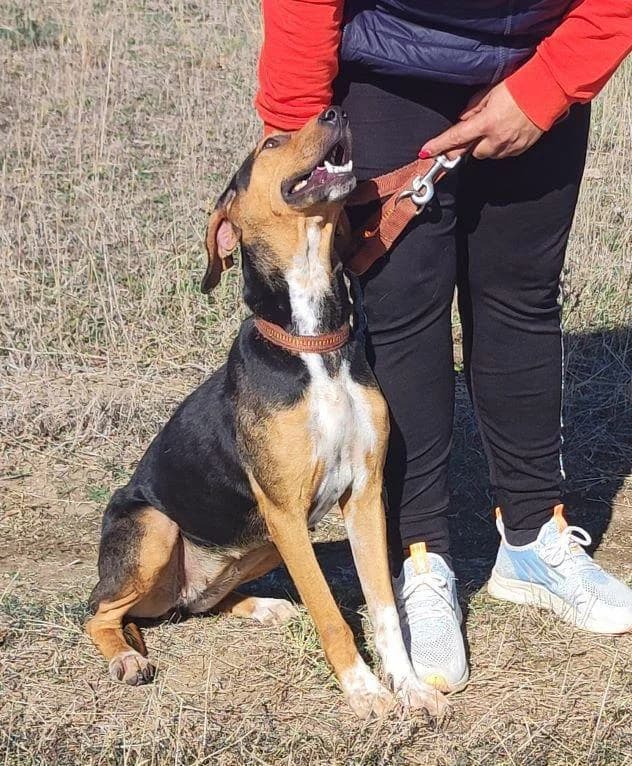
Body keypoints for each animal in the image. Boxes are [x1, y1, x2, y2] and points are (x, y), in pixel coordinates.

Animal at [86, 107, 447, 719]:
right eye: (271, 143)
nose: (335, 111)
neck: (314, 342)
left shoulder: (363, 495)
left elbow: (383, 608)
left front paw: (411, 685)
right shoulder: (286, 509)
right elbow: (331, 613)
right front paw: (365, 691)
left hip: (259, 545)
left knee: (195, 603)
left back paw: (261, 606)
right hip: (160, 528)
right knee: (99, 612)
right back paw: (127, 658)